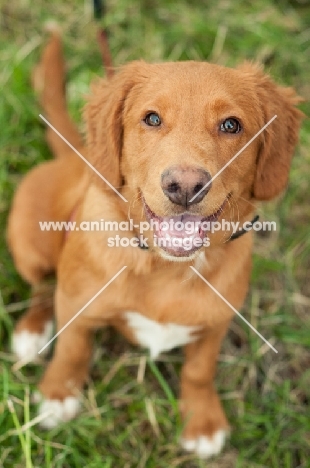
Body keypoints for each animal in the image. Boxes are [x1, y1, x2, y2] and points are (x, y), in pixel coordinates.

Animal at [6, 31, 304, 458]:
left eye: (232, 125)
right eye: (151, 119)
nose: (185, 186)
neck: (167, 266)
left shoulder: (216, 321)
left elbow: (199, 370)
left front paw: (202, 421)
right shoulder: (77, 303)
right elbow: (73, 348)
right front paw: (58, 394)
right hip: (28, 243)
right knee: (41, 288)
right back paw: (31, 331)